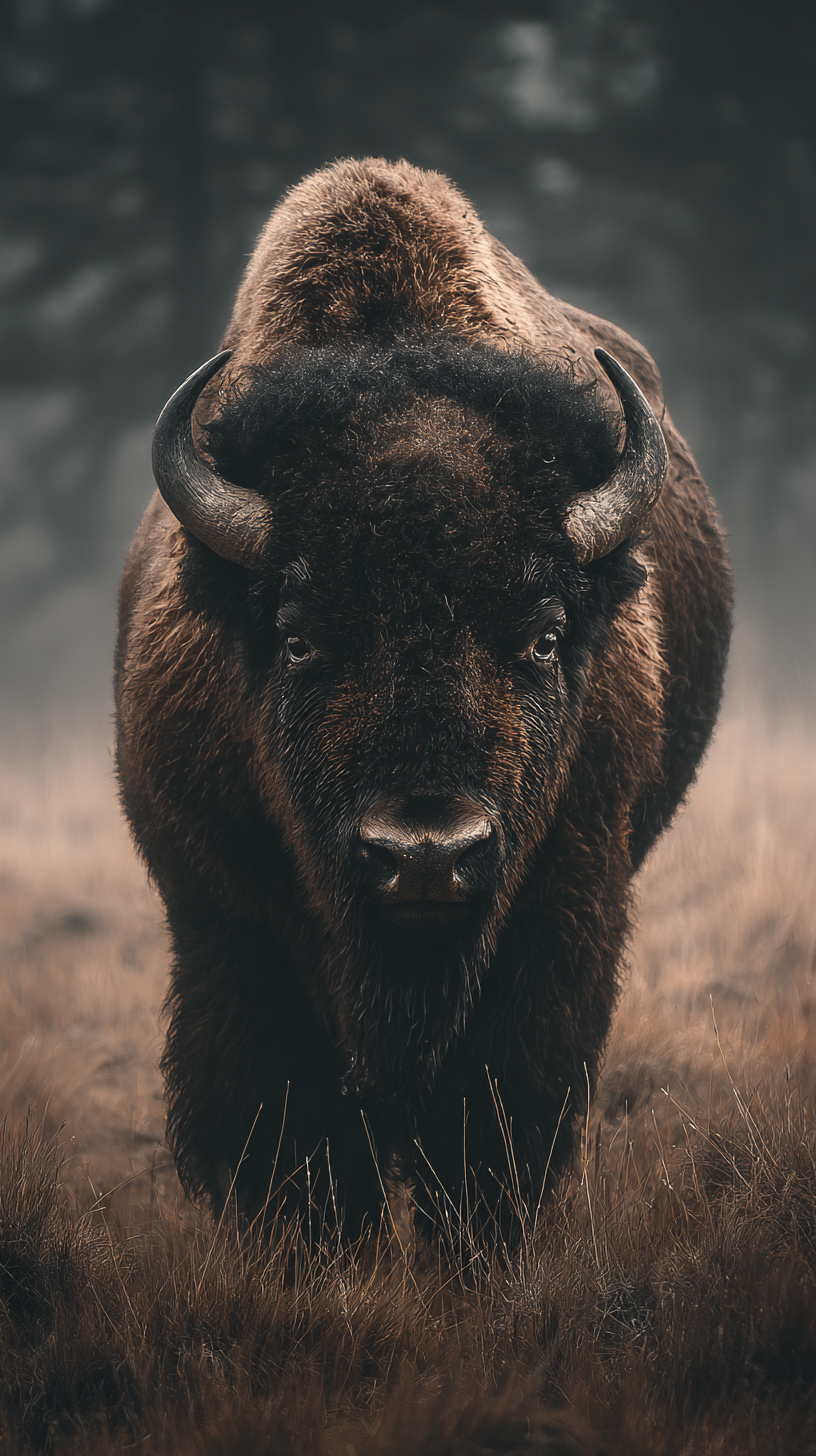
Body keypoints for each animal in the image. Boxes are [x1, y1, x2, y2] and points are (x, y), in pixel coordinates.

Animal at [115, 158, 731, 1241]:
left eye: (543, 637)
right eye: (298, 637)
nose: (426, 855)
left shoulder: (562, 913)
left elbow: (494, 1130)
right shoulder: (225, 925)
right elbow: (287, 1137)